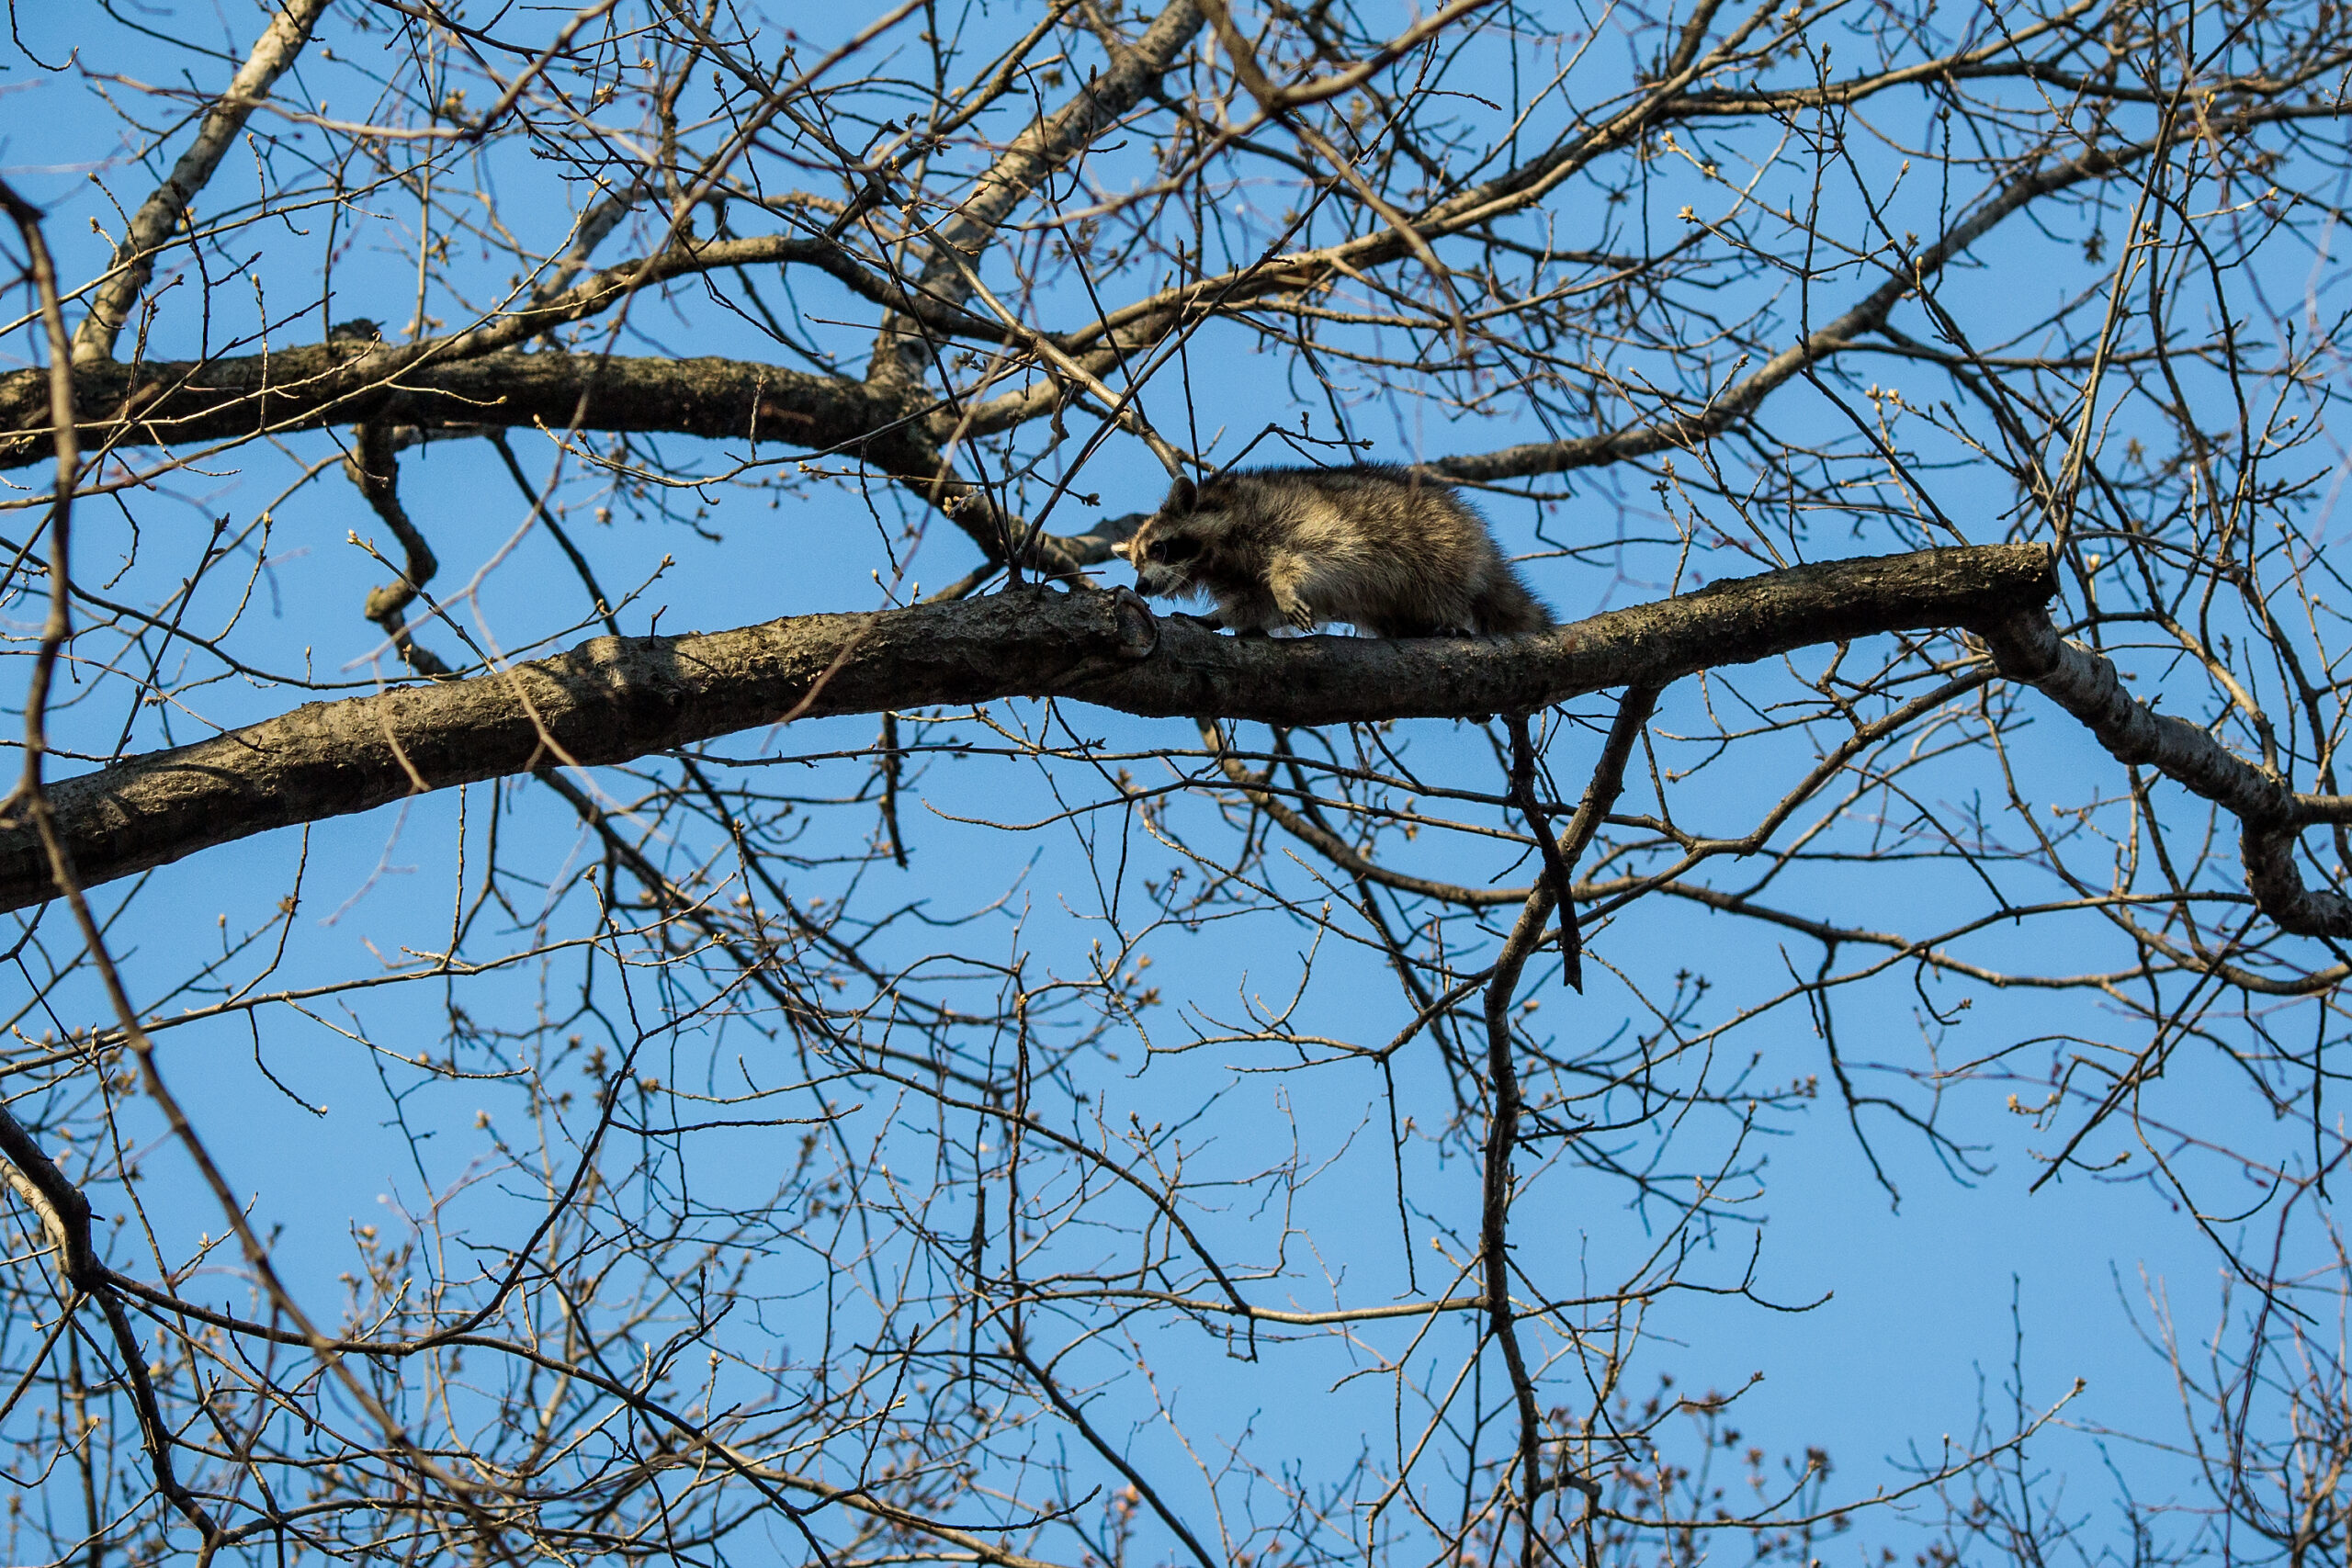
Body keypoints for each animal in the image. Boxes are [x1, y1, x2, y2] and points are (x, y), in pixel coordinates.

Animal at [1115, 465, 1553, 637]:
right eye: (1136, 561)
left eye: (1159, 548)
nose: (1141, 587)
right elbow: (1255, 602)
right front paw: (1218, 616)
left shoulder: (1294, 518)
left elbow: (1319, 554)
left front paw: (1284, 583)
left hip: (1441, 546)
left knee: (1441, 584)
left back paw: (1443, 617)